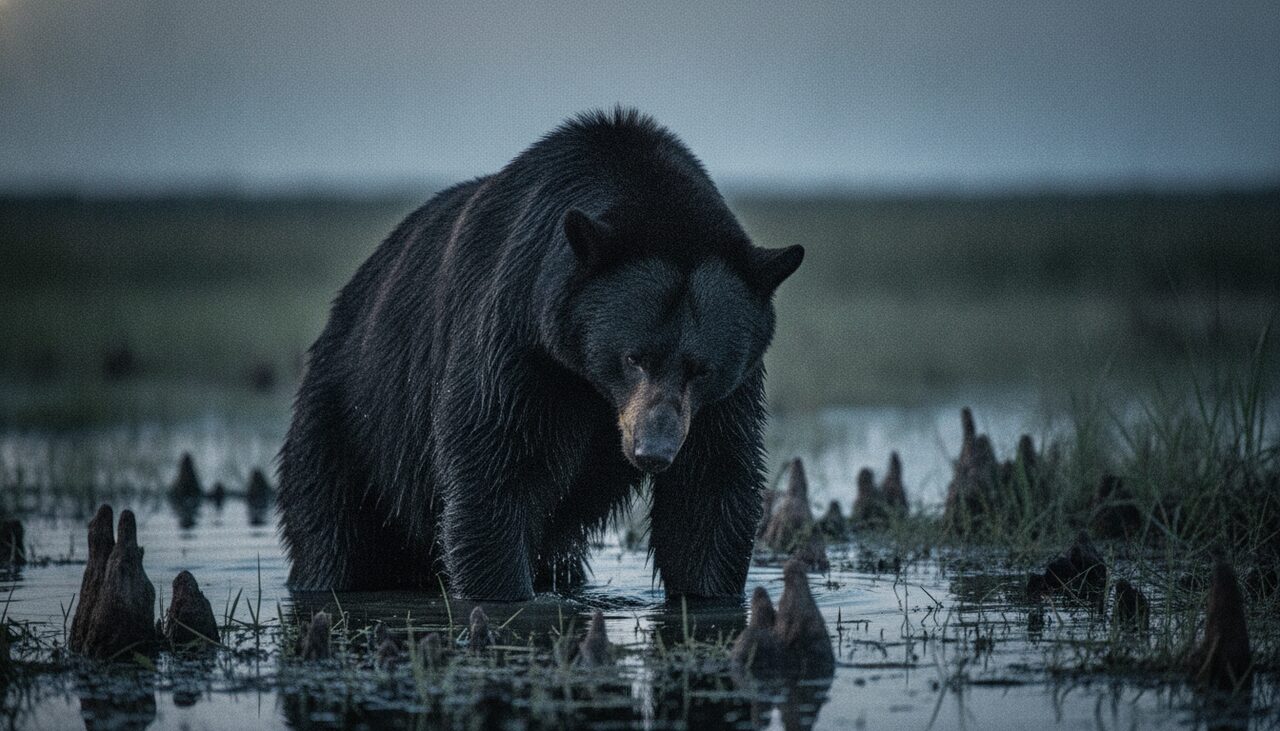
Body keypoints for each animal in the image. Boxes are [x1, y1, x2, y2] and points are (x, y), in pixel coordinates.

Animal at [276, 108, 803, 601]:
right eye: (634, 357)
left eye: (702, 369)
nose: (653, 451)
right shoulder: (520, 340)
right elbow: (495, 468)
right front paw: (501, 593)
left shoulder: (724, 398)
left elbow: (710, 489)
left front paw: (706, 594)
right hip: (351, 419)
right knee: (331, 524)